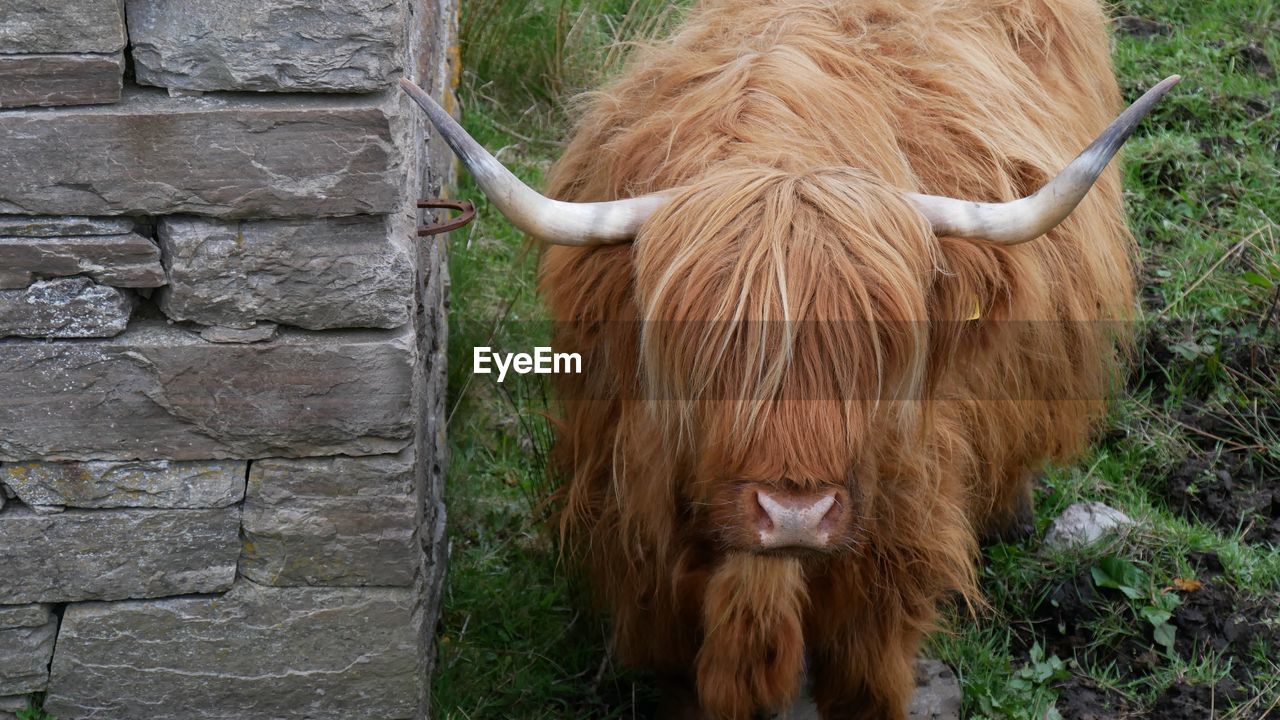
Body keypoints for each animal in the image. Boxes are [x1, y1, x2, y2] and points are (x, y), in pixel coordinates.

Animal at [404, 1, 1172, 712]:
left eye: (876, 349)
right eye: (710, 351)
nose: (795, 514)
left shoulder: (891, 550)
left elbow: (865, 676)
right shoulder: (646, 542)